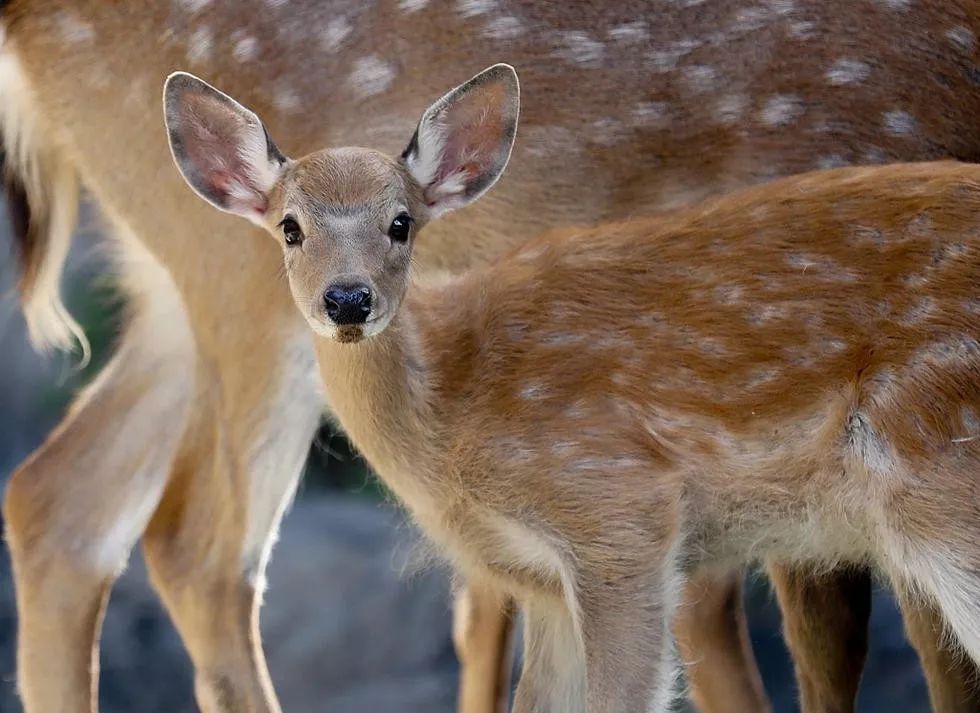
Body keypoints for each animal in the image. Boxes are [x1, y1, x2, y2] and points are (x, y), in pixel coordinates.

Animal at [5, 1, 980, 712]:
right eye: (290, 226)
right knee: (189, 545)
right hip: (223, 292)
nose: (348, 299)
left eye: (403, 222)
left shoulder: (612, 531)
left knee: (65, 504)